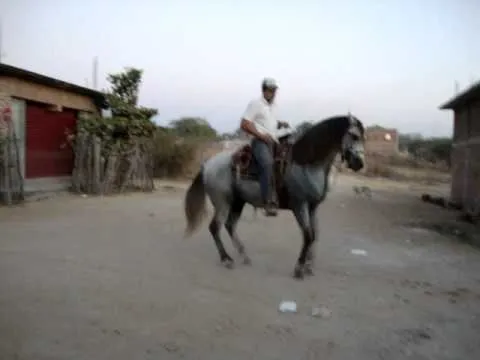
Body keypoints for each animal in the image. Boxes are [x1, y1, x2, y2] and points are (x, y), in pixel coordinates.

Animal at [183, 114, 364, 278]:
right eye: (354, 136)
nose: (360, 163)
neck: (306, 164)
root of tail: (207, 164)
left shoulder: (313, 207)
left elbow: (315, 234)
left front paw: (308, 266)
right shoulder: (300, 205)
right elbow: (308, 235)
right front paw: (299, 268)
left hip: (237, 202)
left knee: (229, 225)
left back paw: (244, 256)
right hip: (223, 202)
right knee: (215, 227)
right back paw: (226, 259)